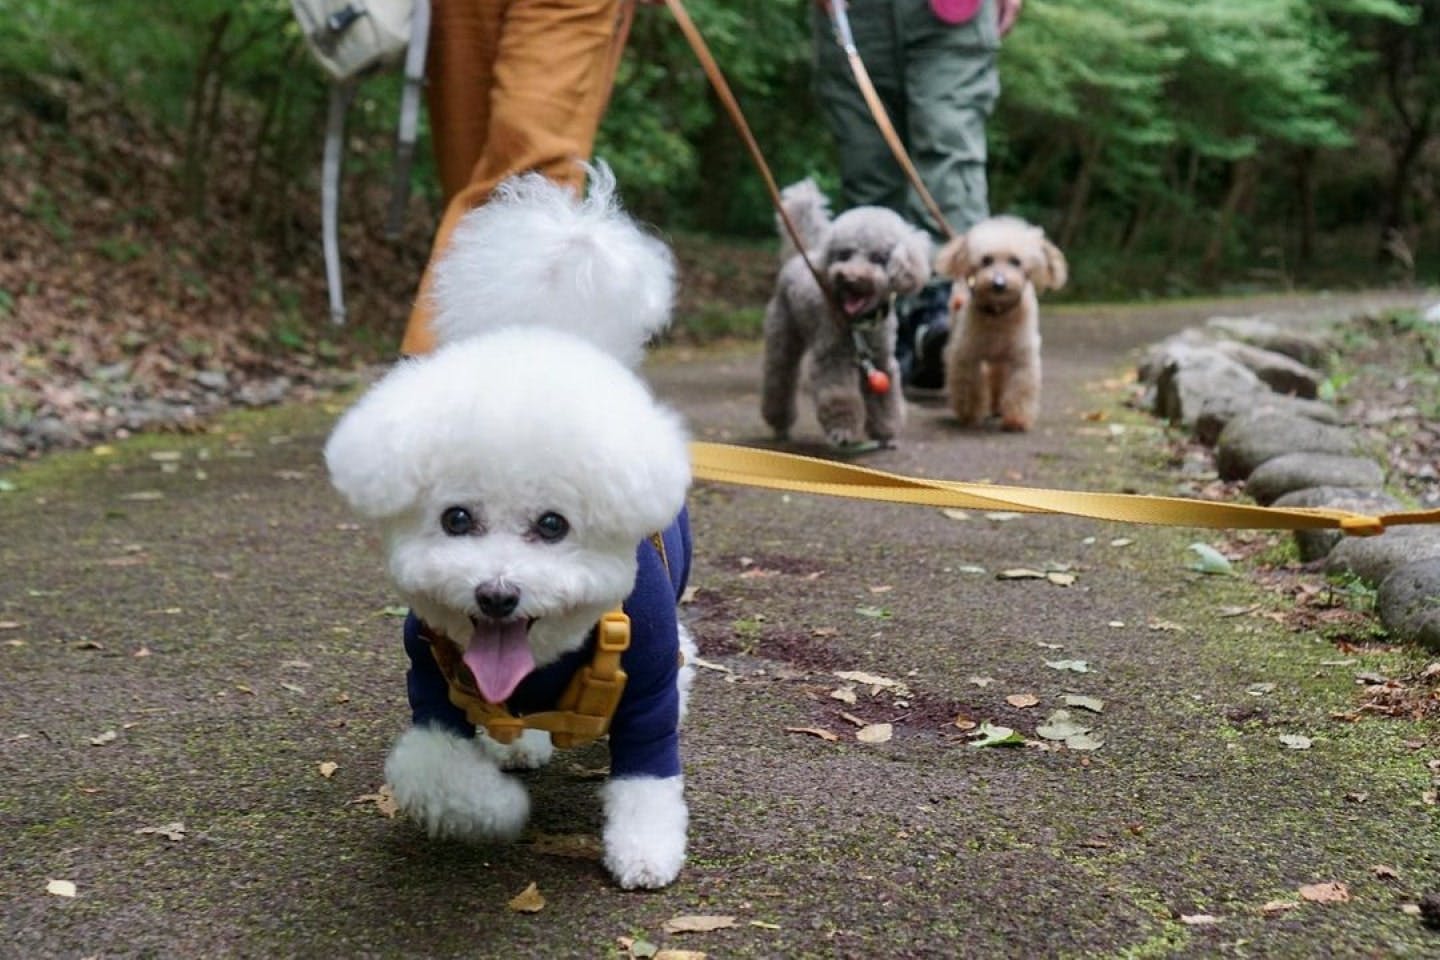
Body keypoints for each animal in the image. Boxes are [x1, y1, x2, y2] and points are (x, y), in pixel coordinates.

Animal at [324, 166, 694, 892]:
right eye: (456, 519)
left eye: (553, 525)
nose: (497, 595)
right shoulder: (432, 684)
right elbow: (433, 770)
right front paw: (502, 807)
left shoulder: (648, 686)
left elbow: (648, 777)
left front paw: (644, 851)